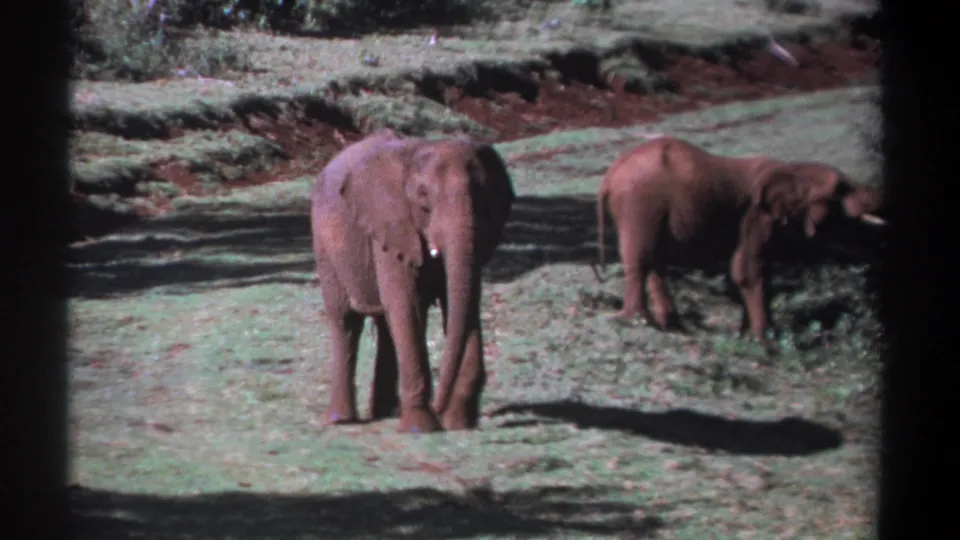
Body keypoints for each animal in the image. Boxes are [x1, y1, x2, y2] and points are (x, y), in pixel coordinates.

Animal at [310, 132, 516, 433]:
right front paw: (423, 428)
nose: (441, 409)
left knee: (385, 325)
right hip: (325, 246)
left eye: (483, 193)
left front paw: (458, 424)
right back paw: (341, 420)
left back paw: (385, 413)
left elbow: (463, 306)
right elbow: (407, 306)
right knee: (346, 321)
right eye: (422, 197)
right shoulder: (389, 225)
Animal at [593, 136, 884, 353]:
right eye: (839, 190)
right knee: (642, 259)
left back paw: (672, 326)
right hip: (640, 203)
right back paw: (638, 321)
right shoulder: (756, 216)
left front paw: (748, 338)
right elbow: (747, 271)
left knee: (655, 261)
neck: (791, 170)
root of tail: (611, 174)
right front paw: (768, 345)